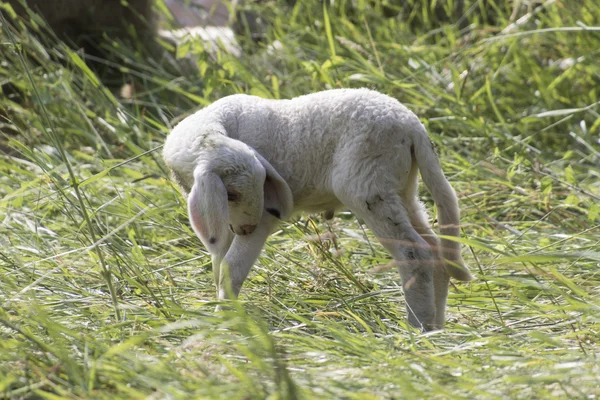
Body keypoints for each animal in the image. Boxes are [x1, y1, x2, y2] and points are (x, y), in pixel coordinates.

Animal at [162, 88, 472, 332]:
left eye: (258, 185)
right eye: (232, 193)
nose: (247, 227)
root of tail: (413, 126)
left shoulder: (261, 220)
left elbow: (231, 266)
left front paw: (223, 319)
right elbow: (219, 260)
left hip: (368, 184)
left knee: (413, 253)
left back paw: (417, 327)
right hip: (402, 187)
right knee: (435, 248)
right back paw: (436, 325)